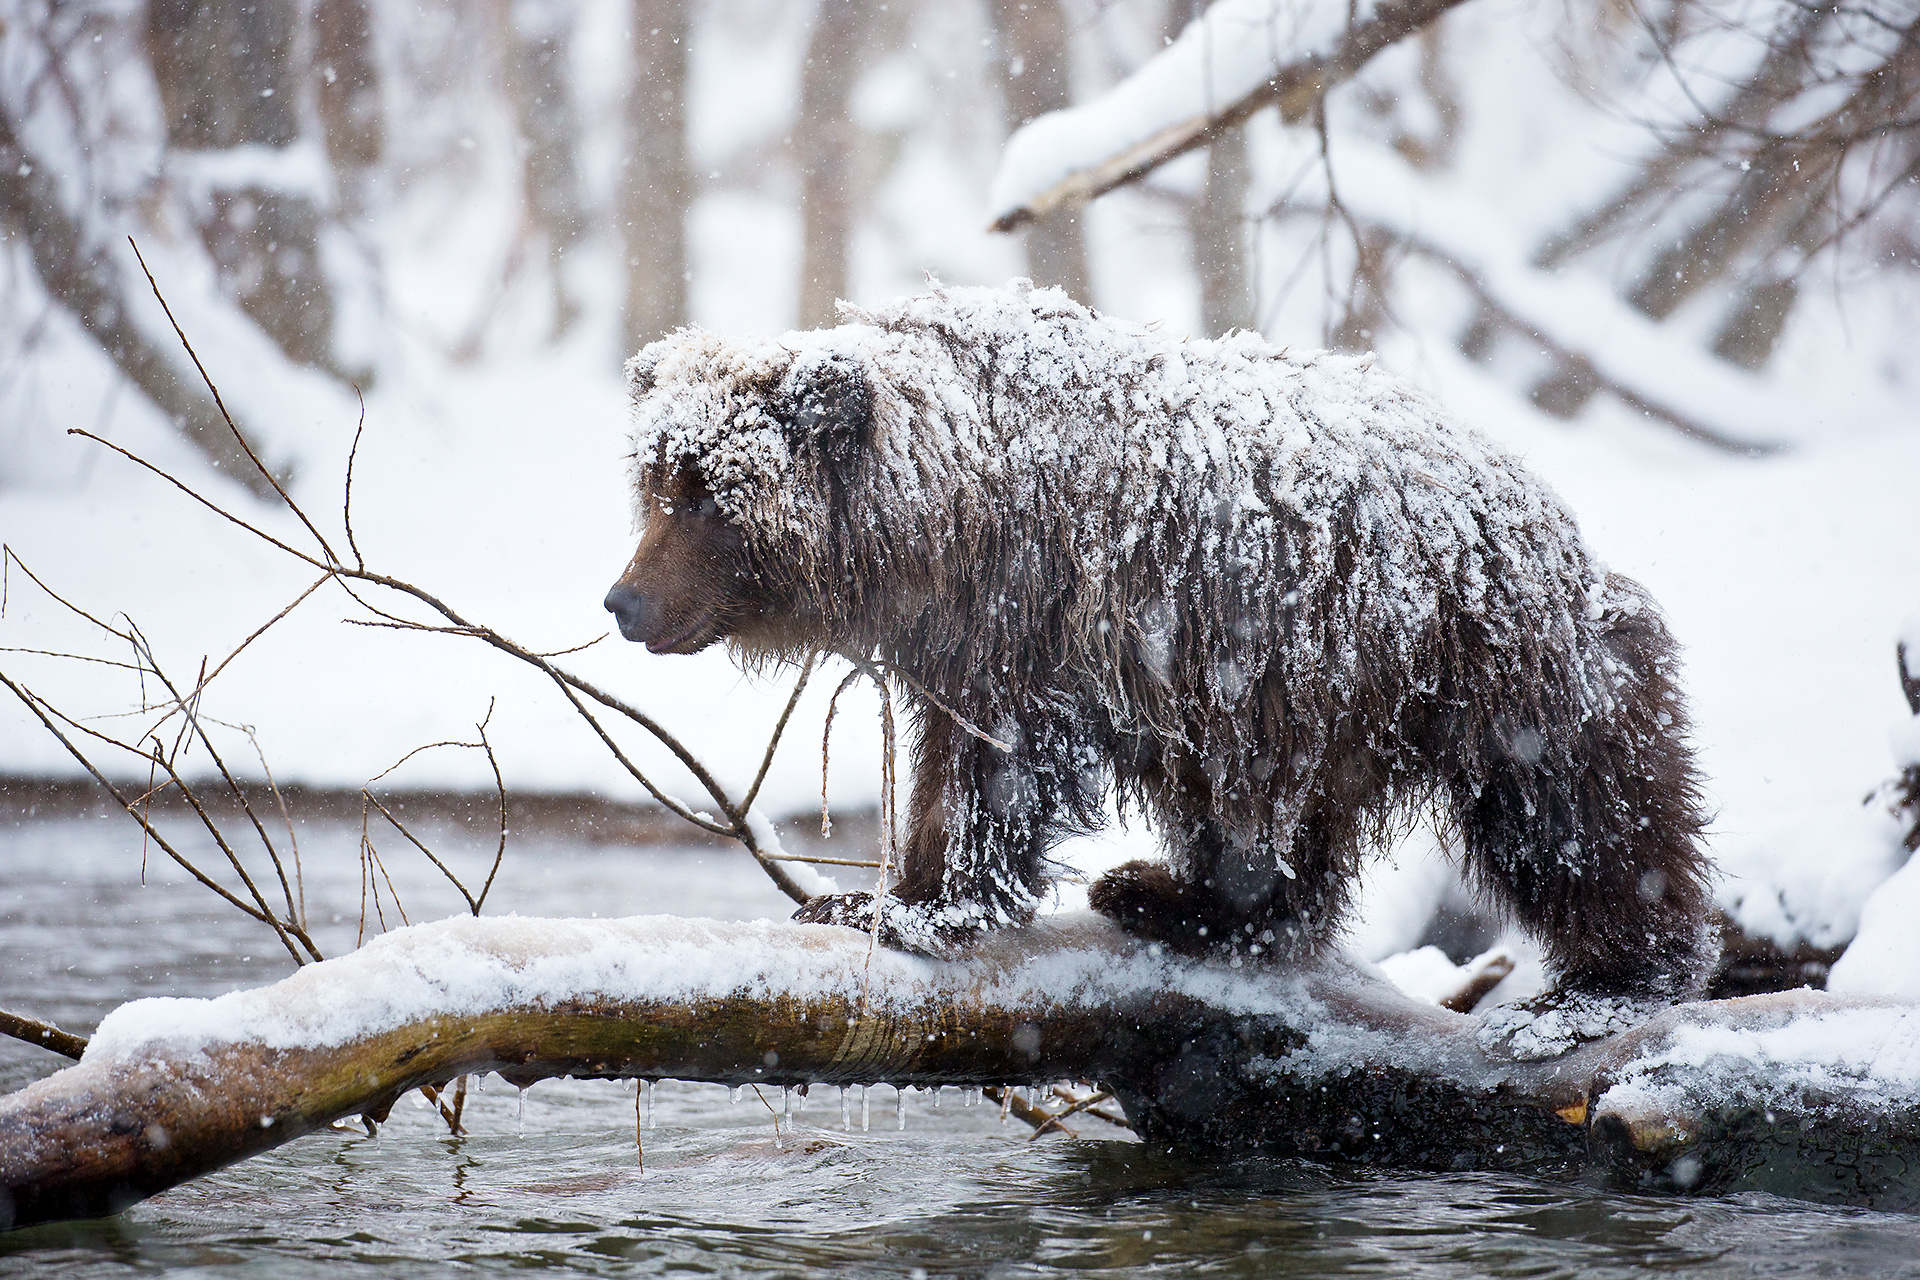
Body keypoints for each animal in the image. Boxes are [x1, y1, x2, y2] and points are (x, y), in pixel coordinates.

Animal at [606, 280, 1720, 1028]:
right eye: (656, 482)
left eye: (708, 494)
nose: (623, 601)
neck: (940, 515)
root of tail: (1538, 502)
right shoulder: (966, 640)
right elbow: (955, 757)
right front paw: (878, 891)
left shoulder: (1030, 615)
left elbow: (992, 770)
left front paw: (904, 904)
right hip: (1284, 693)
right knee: (1267, 820)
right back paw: (1175, 897)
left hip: (1462, 663)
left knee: (1574, 811)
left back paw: (1618, 977)